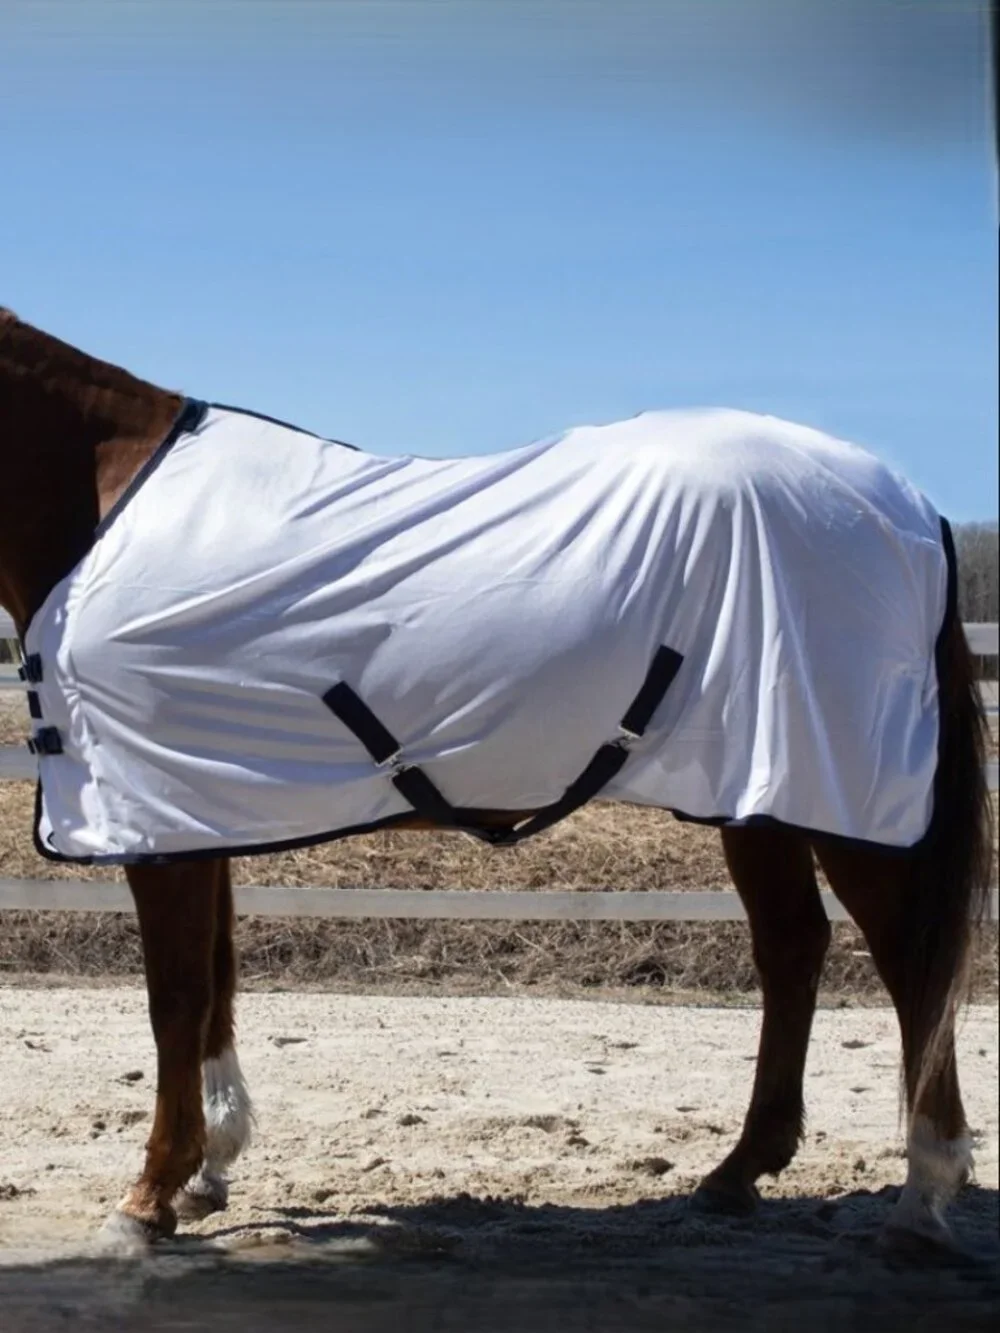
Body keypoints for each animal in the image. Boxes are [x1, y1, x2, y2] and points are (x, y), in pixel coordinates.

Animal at [0, 306, 990, 1258]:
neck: (104, 503)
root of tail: (913, 509)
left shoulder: (153, 822)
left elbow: (176, 999)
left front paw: (148, 1198)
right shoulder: (191, 810)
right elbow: (216, 982)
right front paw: (209, 1169)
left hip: (849, 797)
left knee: (908, 961)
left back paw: (921, 1199)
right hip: (762, 798)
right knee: (793, 947)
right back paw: (738, 1170)